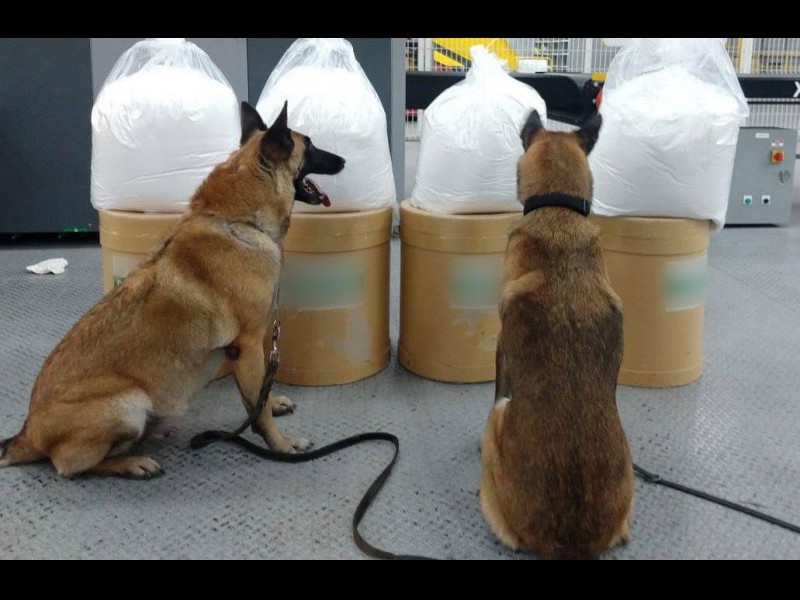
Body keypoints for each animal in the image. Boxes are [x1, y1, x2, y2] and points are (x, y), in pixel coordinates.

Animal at [0, 101, 345, 478]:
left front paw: (272, 405)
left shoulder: (240, 352)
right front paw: (281, 445)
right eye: (309, 145)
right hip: (130, 403)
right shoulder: (249, 346)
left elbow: (257, 399)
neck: (238, 221)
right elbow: (260, 406)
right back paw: (132, 463)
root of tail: (28, 434)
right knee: (70, 465)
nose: (344, 160)